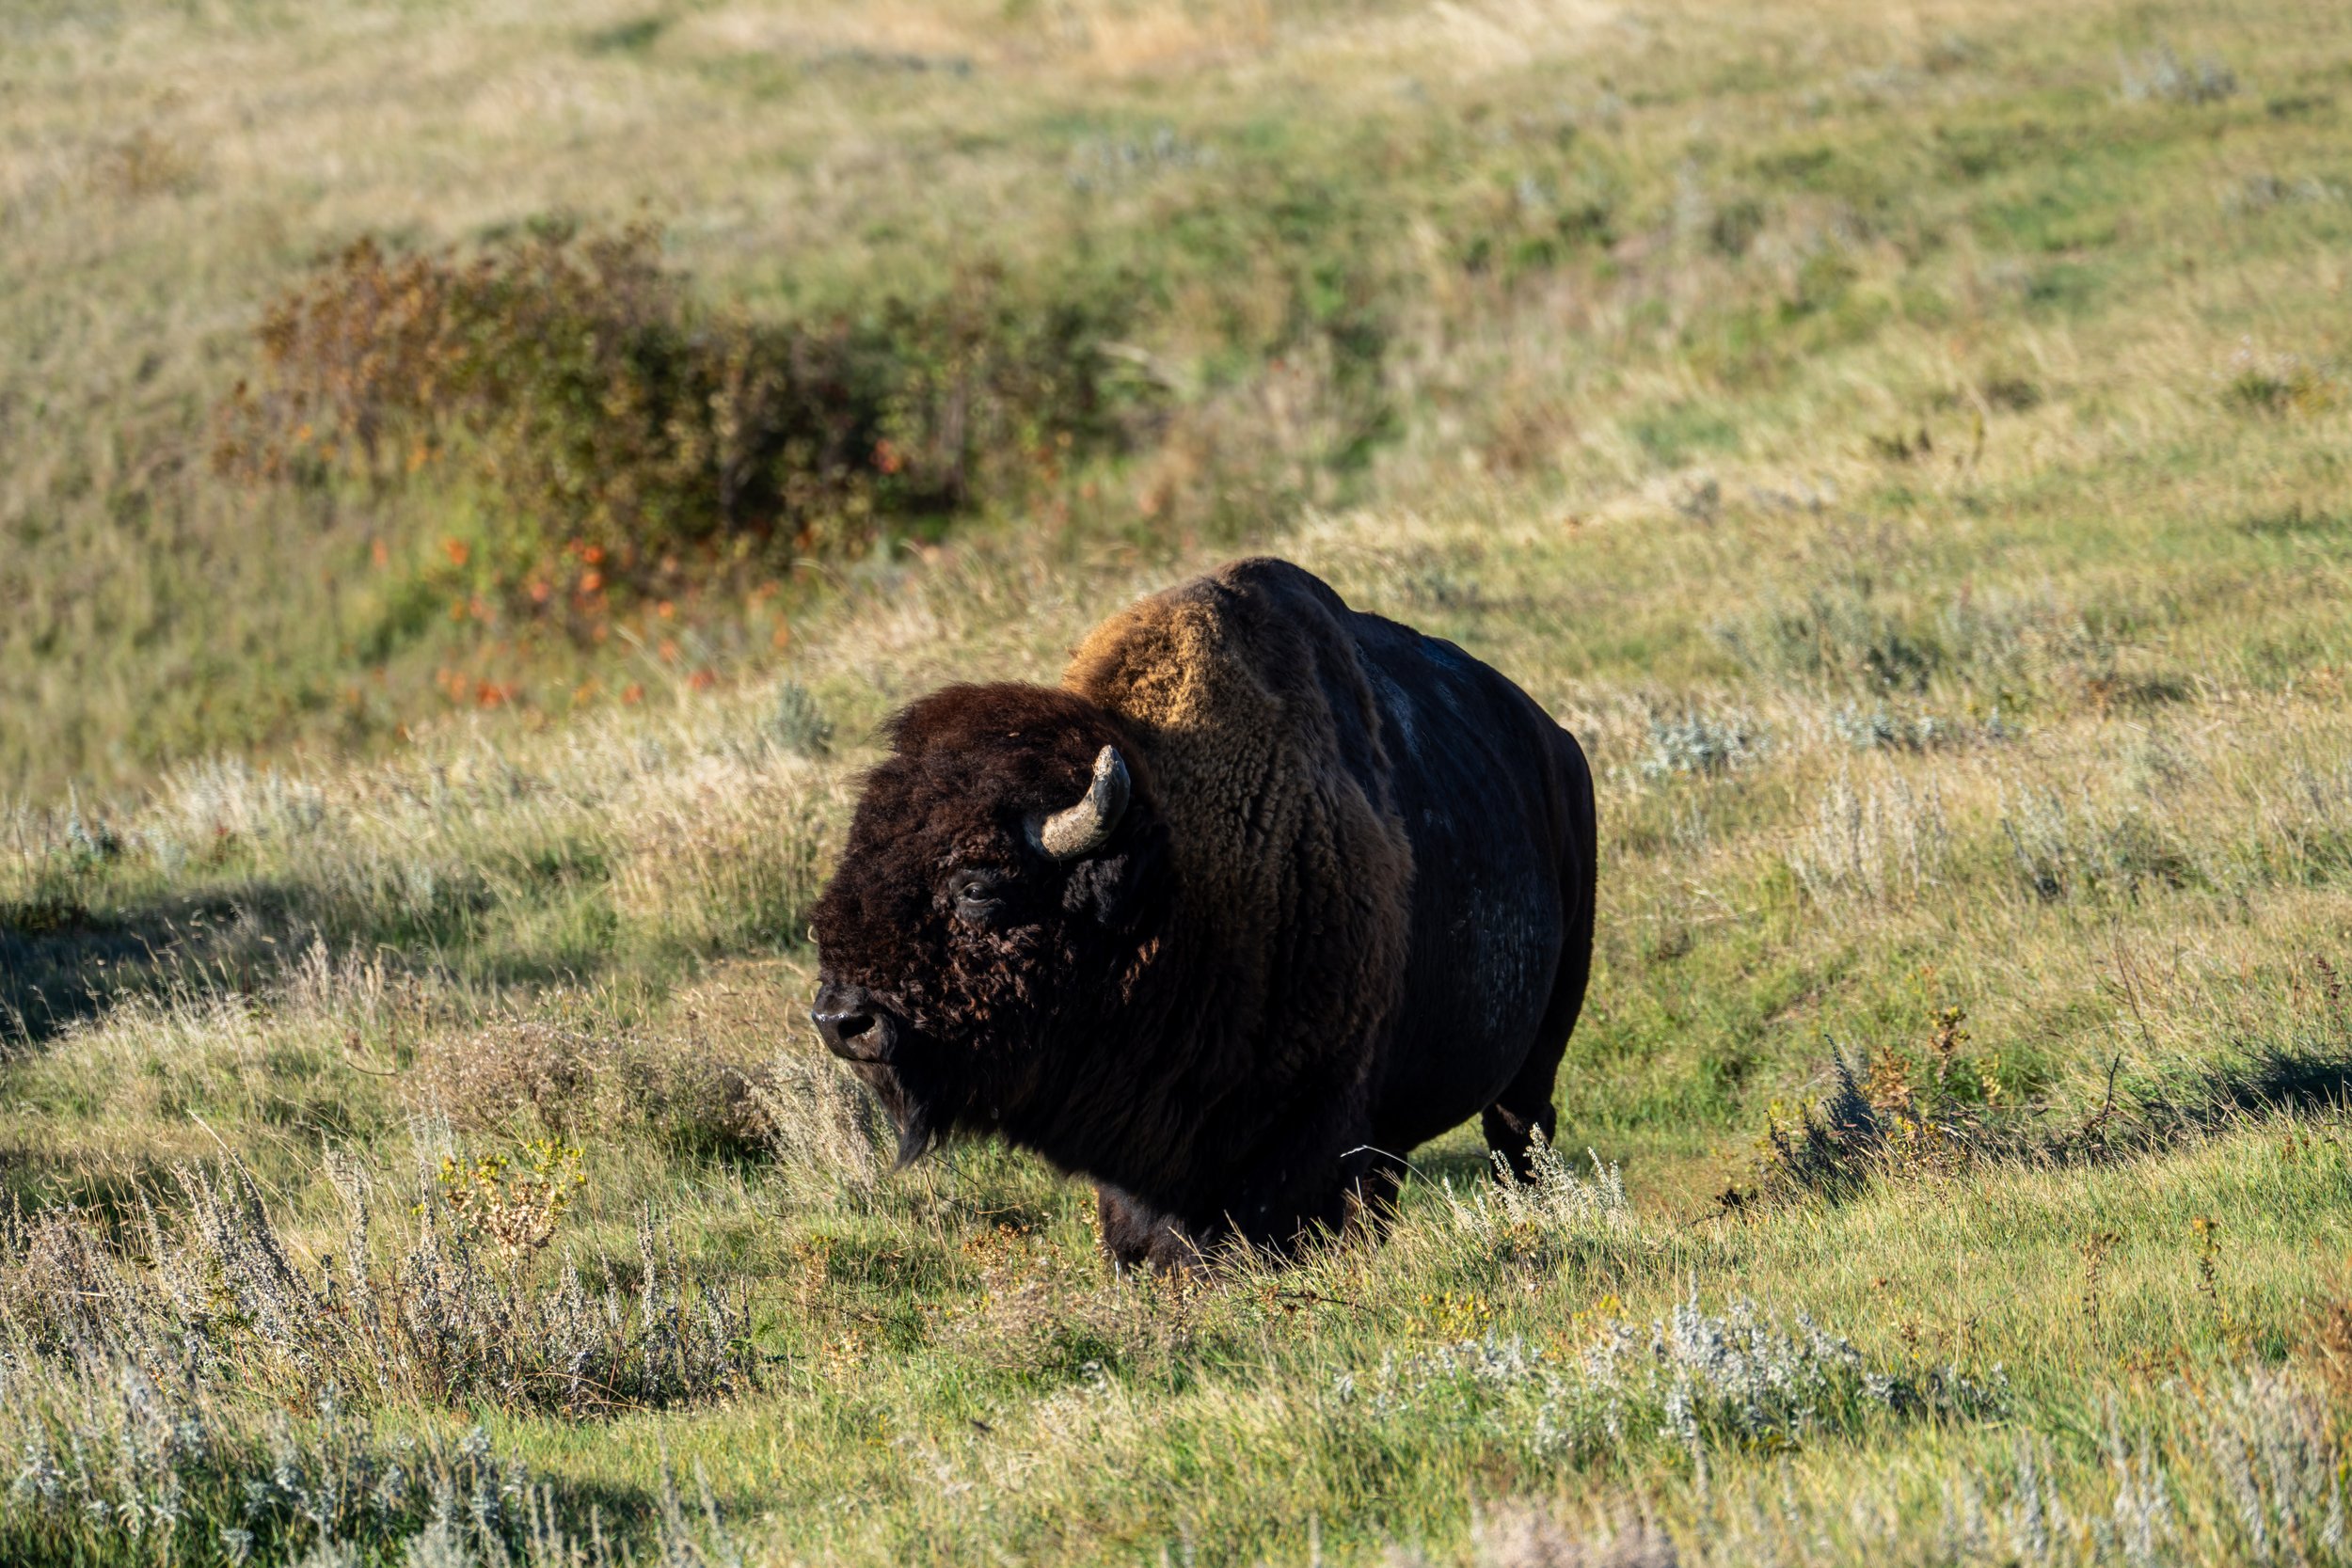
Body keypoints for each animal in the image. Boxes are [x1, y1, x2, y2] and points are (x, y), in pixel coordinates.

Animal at [810, 558, 1595, 1269]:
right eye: (856, 858)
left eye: (978, 887)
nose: (841, 1018)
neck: (1173, 871)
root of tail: (1557, 746)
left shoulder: (1314, 1121)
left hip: (1541, 1042)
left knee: (1518, 1133)